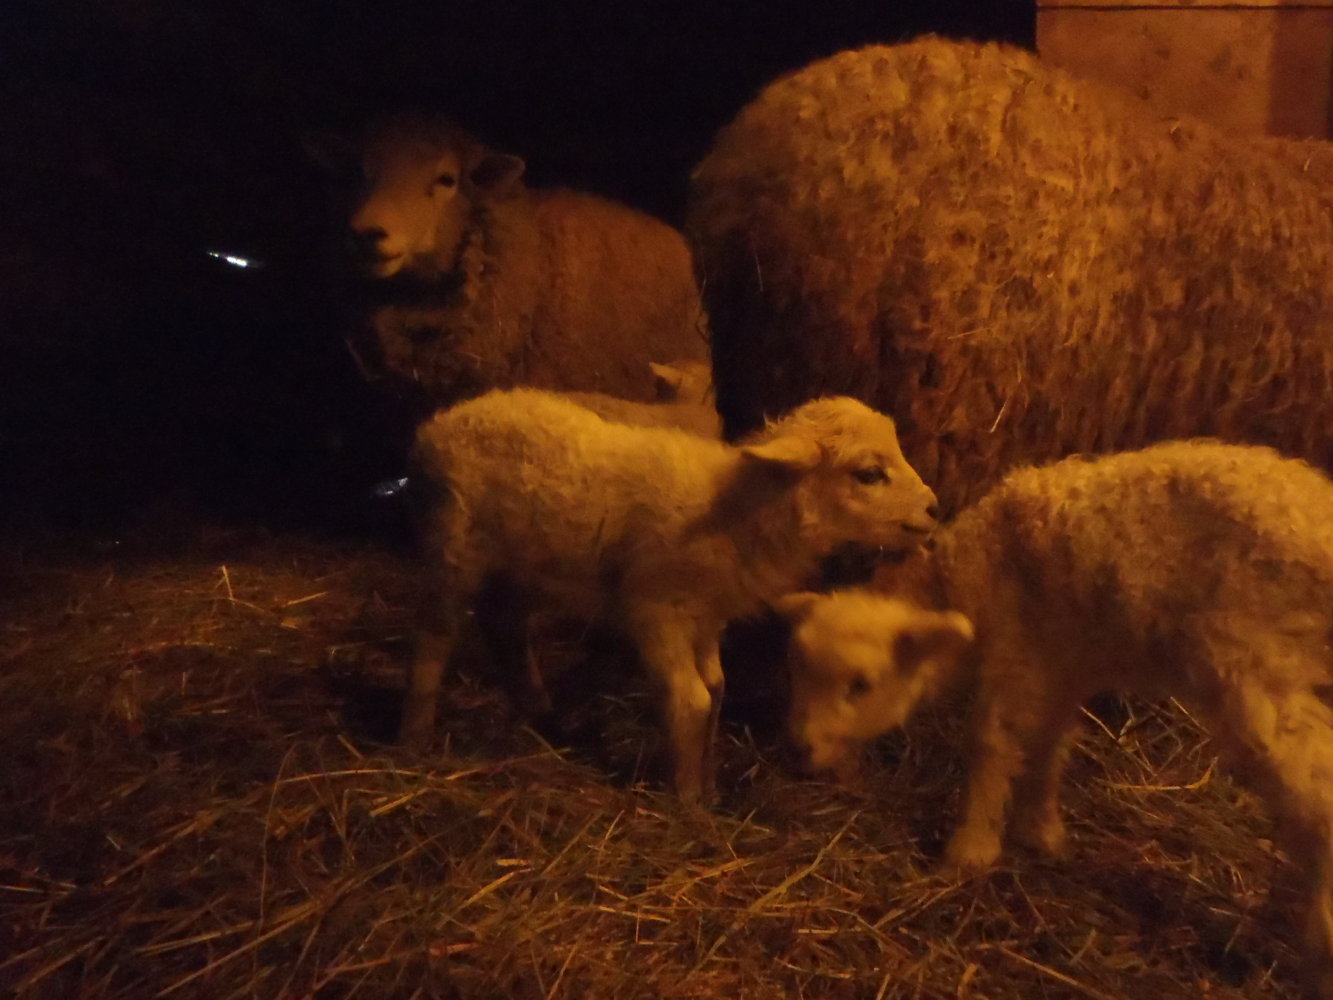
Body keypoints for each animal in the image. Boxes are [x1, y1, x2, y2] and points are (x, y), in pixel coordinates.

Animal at [402, 387, 939, 803]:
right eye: (868, 473)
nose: (934, 508)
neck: (736, 512)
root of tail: (440, 424)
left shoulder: (706, 617)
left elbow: (718, 688)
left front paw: (708, 784)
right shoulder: (658, 611)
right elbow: (691, 700)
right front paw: (686, 799)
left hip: (521, 562)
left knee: (505, 625)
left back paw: (541, 711)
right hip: (455, 544)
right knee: (434, 634)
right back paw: (417, 735)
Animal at [779, 440, 1333, 997]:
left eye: (861, 685)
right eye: (799, 673)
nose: (798, 748)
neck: (971, 573)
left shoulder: (1016, 650)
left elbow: (991, 742)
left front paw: (969, 850)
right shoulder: (1063, 663)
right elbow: (1050, 747)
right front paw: (1041, 831)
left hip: (1255, 670)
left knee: (1319, 796)